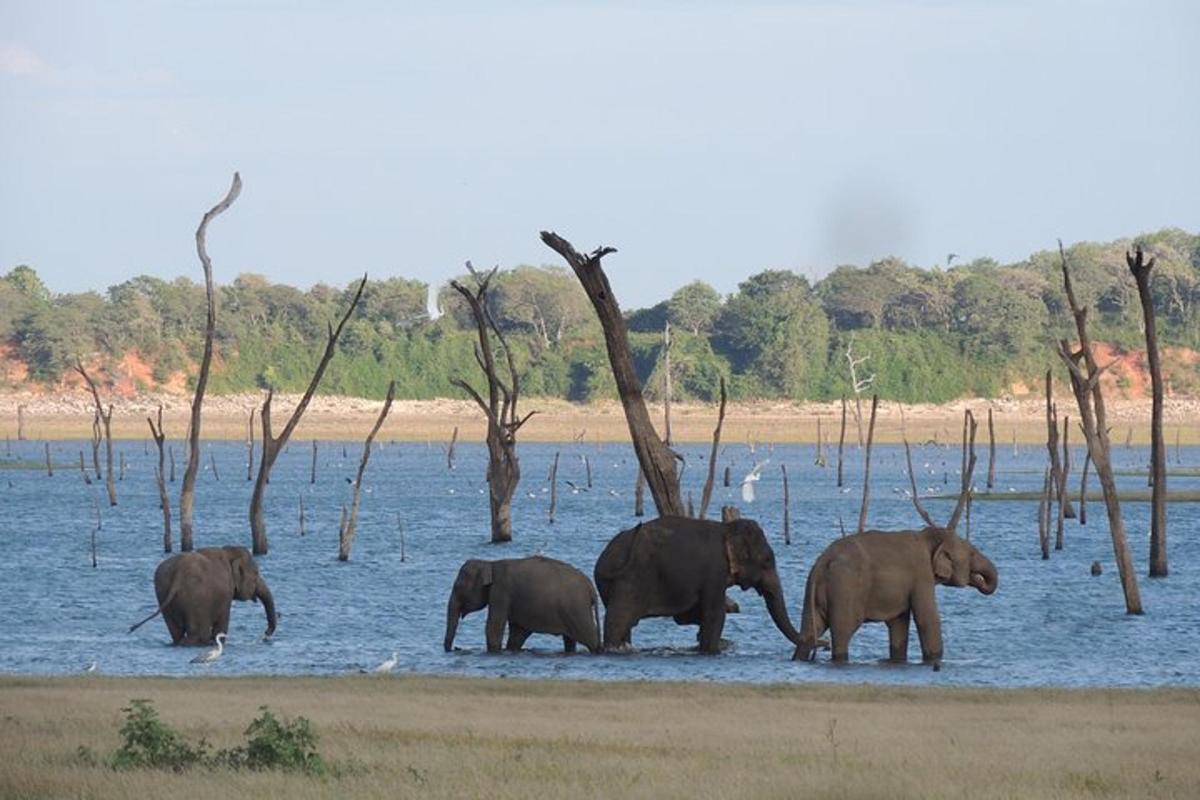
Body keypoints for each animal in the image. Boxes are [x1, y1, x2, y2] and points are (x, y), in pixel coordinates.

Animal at [441, 554, 600, 652]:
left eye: (458, 587)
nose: (454, 649)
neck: (490, 564)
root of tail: (591, 588)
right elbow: (517, 633)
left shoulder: (501, 591)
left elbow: (494, 626)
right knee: (570, 640)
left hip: (577, 610)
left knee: (591, 638)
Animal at [592, 515, 801, 652]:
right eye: (767, 560)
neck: (727, 527)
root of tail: (604, 559)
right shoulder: (715, 572)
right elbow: (715, 614)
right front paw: (712, 648)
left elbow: (687, 615)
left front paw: (713, 641)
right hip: (630, 580)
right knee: (618, 620)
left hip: (607, 585)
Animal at [792, 527, 998, 666]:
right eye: (972, 553)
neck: (927, 536)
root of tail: (823, 560)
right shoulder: (921, 574)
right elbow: (926, 618)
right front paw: (934, 661)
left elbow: (898, 623)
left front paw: (898, 661)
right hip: (845, 587)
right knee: (843, 631)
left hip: (814, 591)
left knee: (810, 630)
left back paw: (799, 659)